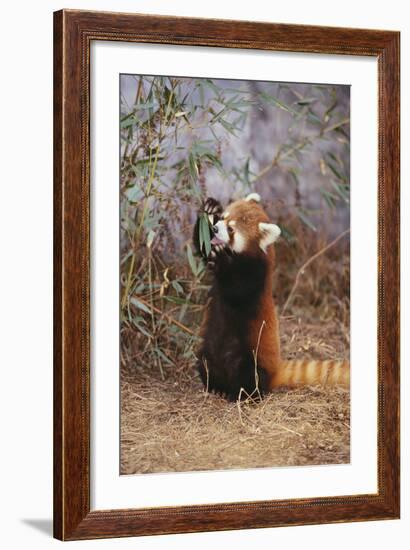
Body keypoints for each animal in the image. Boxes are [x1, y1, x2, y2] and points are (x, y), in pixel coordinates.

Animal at [192, 194, 350, 402]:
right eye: (223, 218)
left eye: (231, 229)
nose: (216, 228)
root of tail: (275, 371)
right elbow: (202, 245)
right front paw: (209, 209)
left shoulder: (257, 275)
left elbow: (238, 290)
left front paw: (222, 259)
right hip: (208, 347)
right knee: (205, 362)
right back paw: (216, 387)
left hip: (251, 355)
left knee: (248, 375)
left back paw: (242, 395)